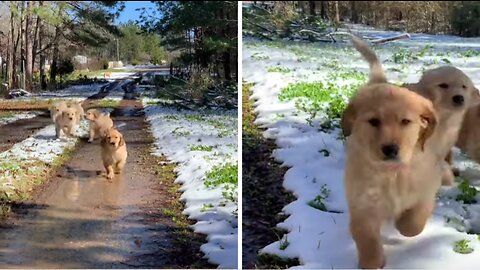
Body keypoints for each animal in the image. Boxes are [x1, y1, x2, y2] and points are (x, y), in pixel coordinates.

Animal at [344, 35, 440, 268]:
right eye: (373, 121)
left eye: (405, 122)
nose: (390, 149)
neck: (392, 173)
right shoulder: (362, 204)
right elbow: (365, 237)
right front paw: (372, 261)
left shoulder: (427, 187)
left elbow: (414, 223)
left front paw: (402, 223)